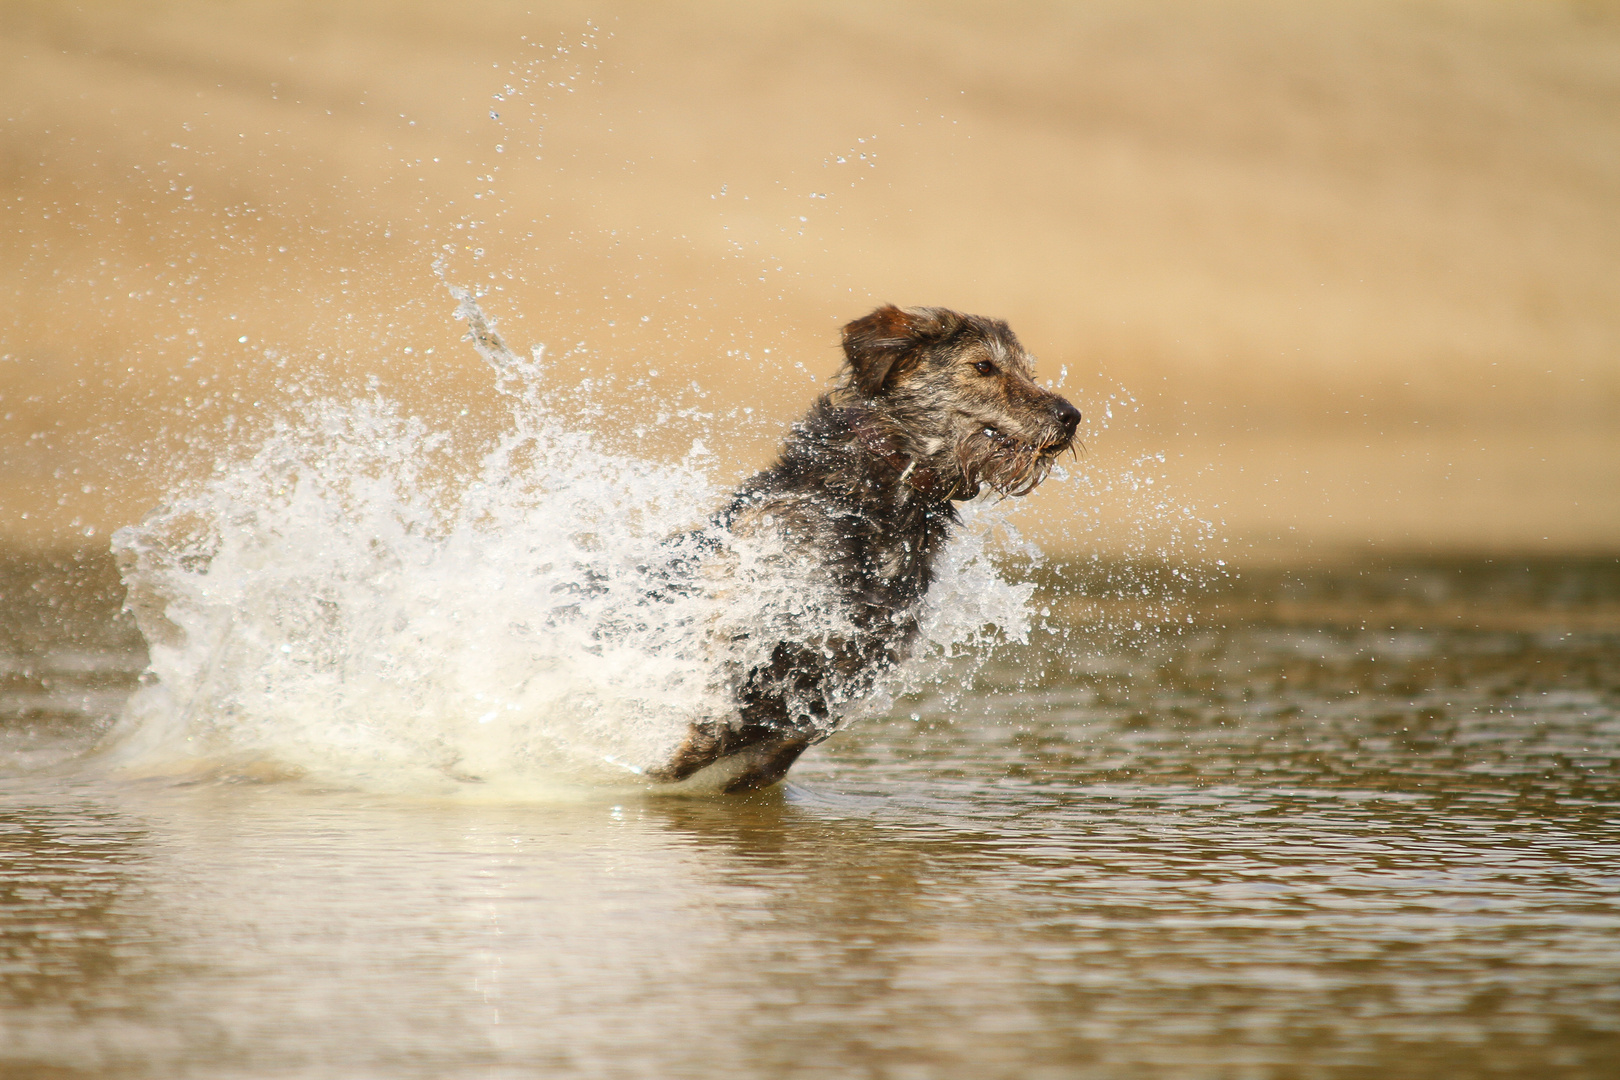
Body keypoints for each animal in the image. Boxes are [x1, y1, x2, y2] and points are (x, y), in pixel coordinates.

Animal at [641, 304, 1075, 793]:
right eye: (983, 366)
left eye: (1028, 371)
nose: (1071, 415)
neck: (878, 496)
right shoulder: (750, 603)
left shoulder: (863, 657)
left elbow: (793, 728)